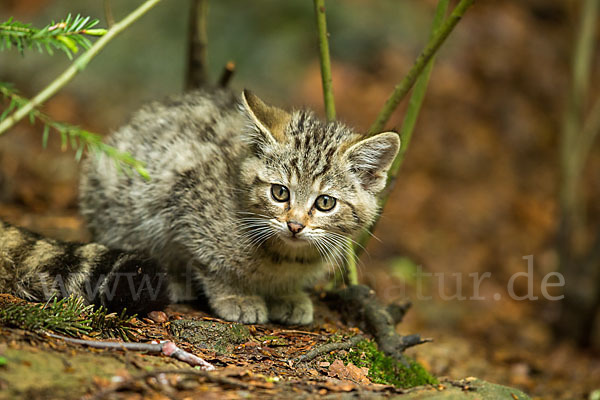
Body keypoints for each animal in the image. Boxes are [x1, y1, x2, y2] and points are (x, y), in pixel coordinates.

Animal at [78, 89, 398, 324]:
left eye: (325, 202)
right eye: (280, 192)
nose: (294, 225)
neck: (286, 256)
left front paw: (287, 295)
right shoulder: (186, 199)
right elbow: (212, 263)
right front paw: (236, 296)